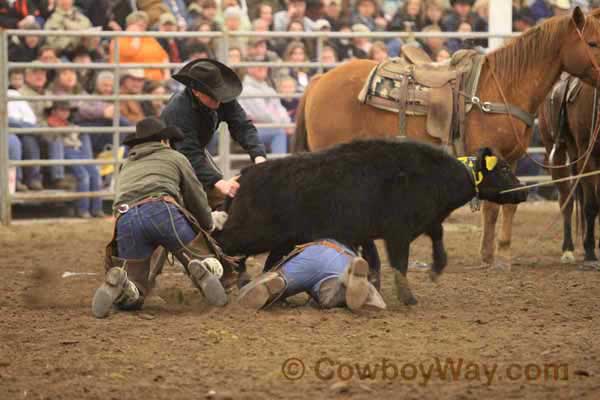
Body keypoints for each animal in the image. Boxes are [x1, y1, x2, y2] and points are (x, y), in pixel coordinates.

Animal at [540, 78, 600, 268]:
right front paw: (590, 251)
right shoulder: (587, 156)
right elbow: (591, 206)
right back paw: (568, 249)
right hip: (557, 152)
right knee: (567, 199)